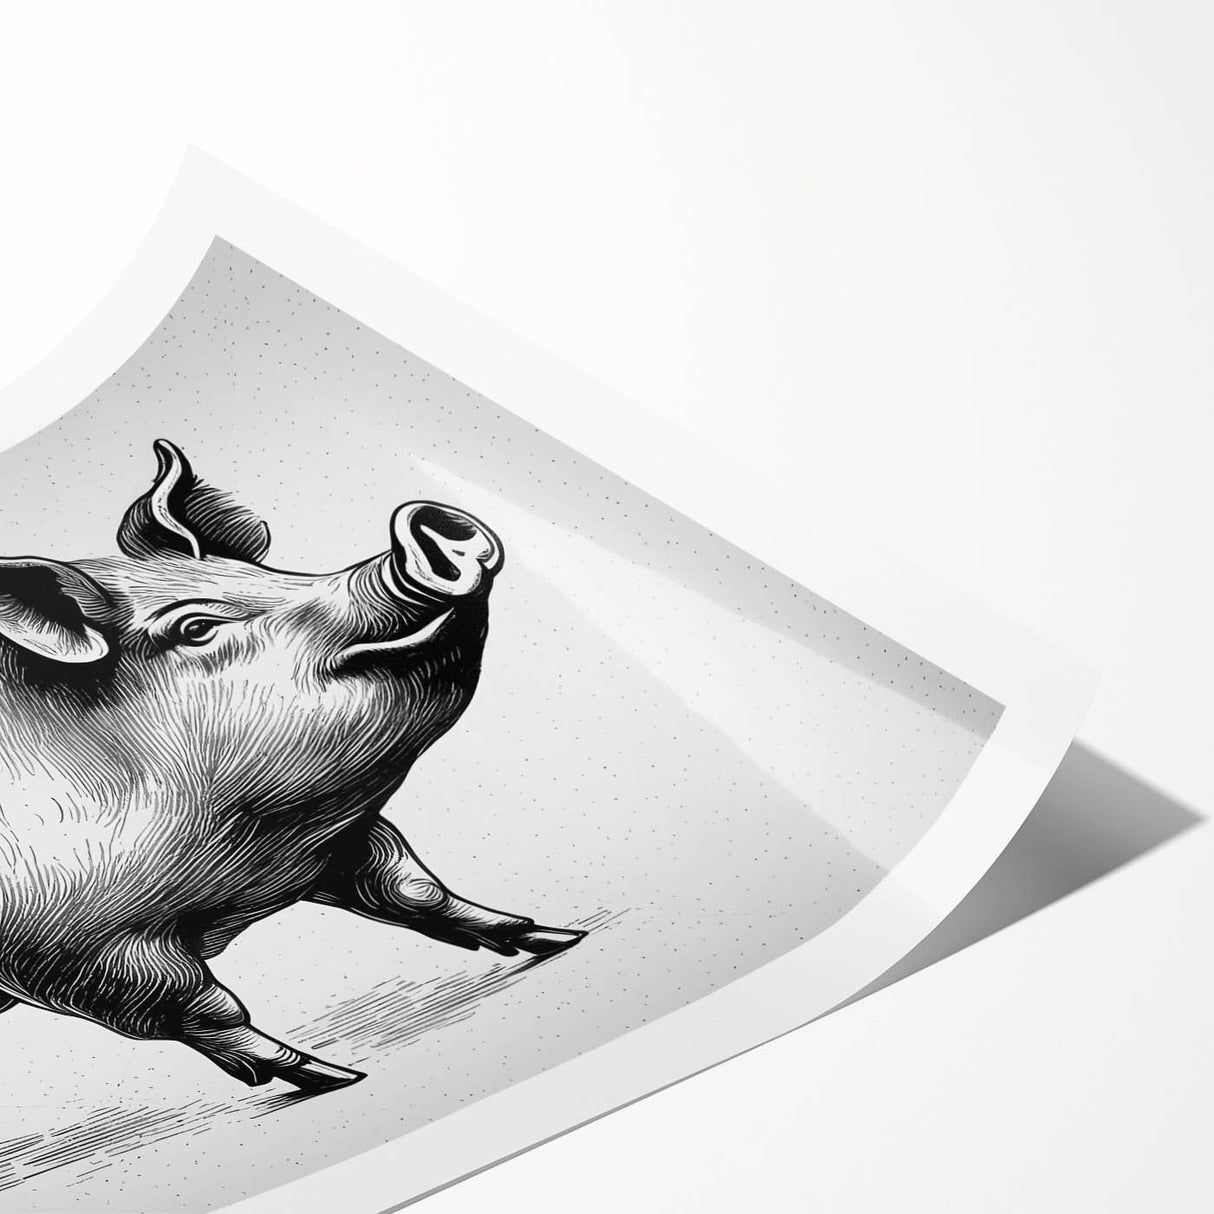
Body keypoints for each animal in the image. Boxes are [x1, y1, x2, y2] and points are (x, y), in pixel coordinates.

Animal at [0, 439, 584, 1093]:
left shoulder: (329, 848)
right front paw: (335, 1076)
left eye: (272, 573)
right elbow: (195, 1003)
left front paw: (556, 937)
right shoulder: (64, 944)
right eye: (196, 627)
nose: (427, 523)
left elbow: (413, 887)